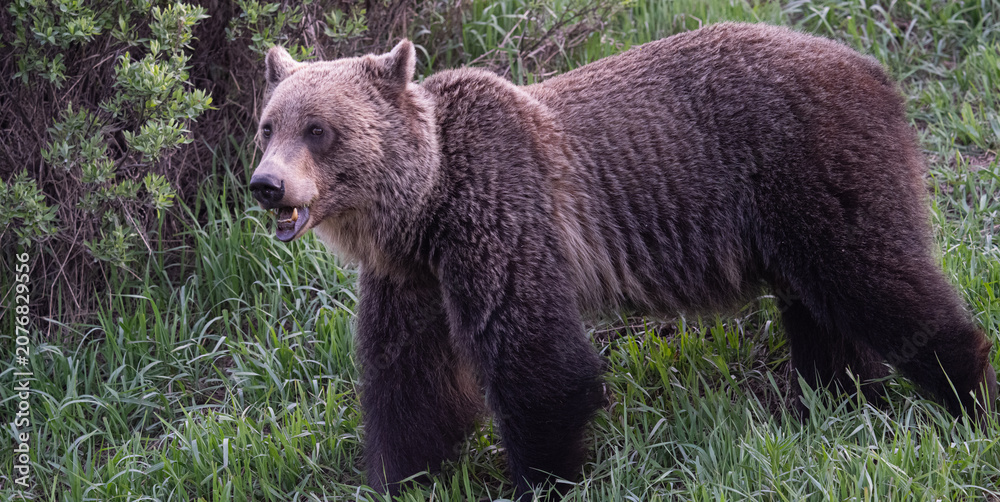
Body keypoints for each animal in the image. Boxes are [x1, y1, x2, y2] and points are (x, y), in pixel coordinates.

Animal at [249, 22, 998, 499]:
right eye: (268, 125)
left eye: (319, 129)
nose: (267, 185)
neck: (423, 207)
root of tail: (873, 69)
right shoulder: (414, 277)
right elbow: (409, 381)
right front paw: (399, 476)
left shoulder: (505, 218)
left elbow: (539, 363)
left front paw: (544, 478)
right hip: (790, 220)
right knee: (824, 313)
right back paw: (831, 401)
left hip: (812, 168)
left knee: (878, 281)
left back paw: (967, 396)